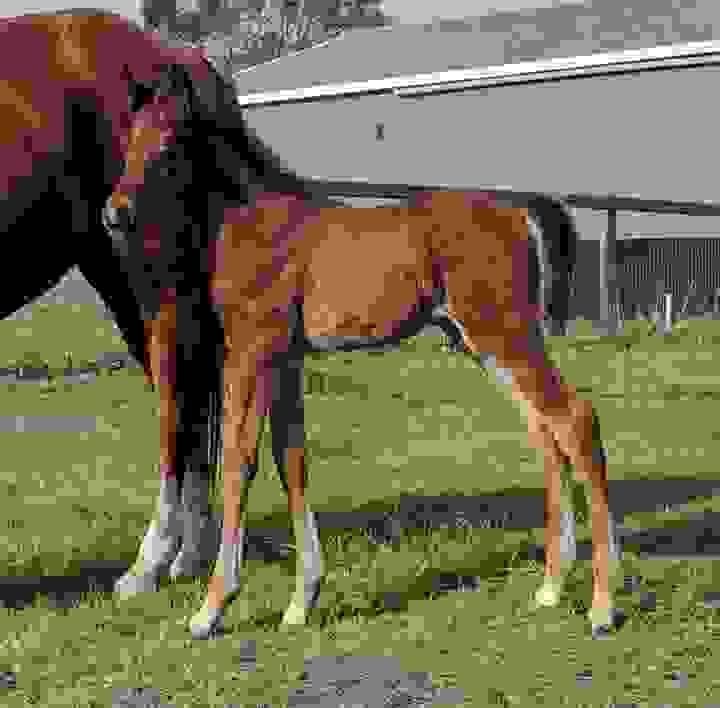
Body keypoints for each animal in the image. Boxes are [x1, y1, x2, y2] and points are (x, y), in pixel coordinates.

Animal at [104, 61, 623, 640]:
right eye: (130, 137)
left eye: (170, 141)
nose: (114, 213)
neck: (250, 222)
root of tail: (518, 211)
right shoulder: (287, 362)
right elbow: (292, 460)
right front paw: (301, 602)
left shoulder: (251, 353)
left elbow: (240, 460)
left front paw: (211, 609)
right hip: (481, 344)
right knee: (545, 431)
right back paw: (551, 588)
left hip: (504, 336)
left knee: (575, 420)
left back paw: (602, 606)